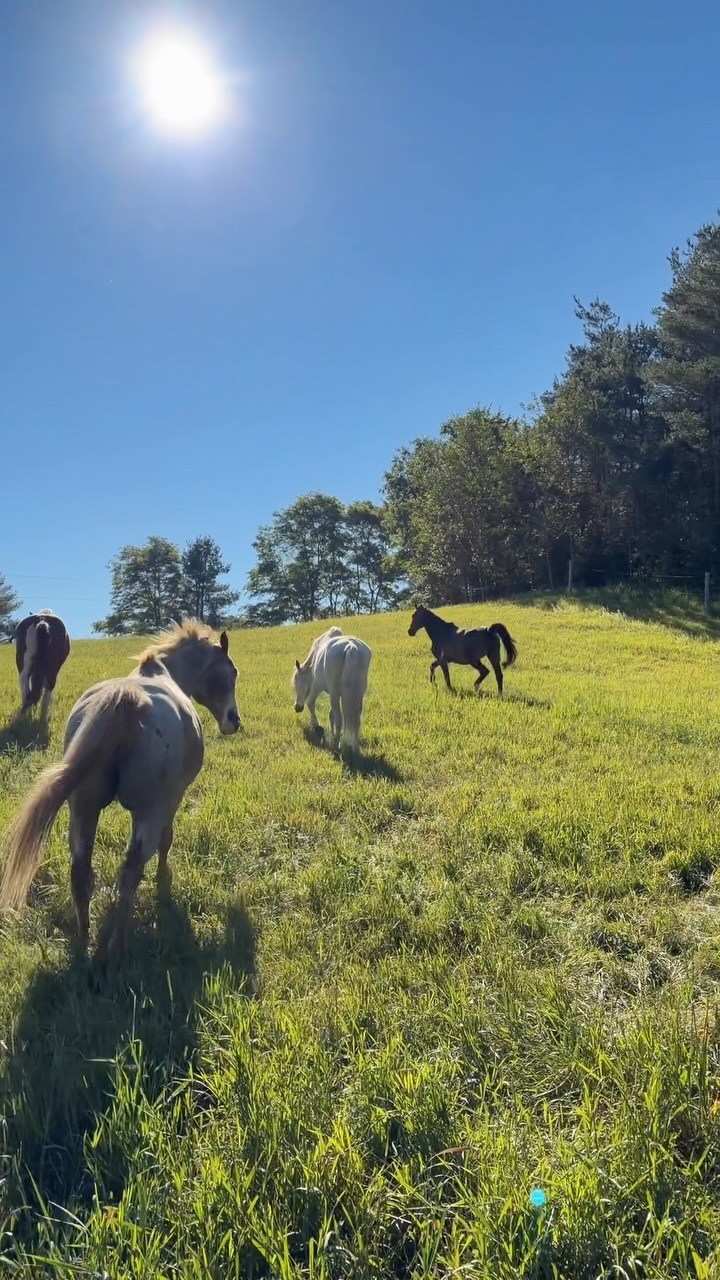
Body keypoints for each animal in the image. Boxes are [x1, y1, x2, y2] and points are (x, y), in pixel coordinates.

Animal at [0, 620, 240, 953]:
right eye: (232, 673)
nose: (234, 721)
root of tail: (128, 701)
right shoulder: (172, 799)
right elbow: (166, 840)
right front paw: (163, 880)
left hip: (84, 809)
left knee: (81, 873)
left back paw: (84, 942)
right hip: (146, 813)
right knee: (130, 873)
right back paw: (117, 947)